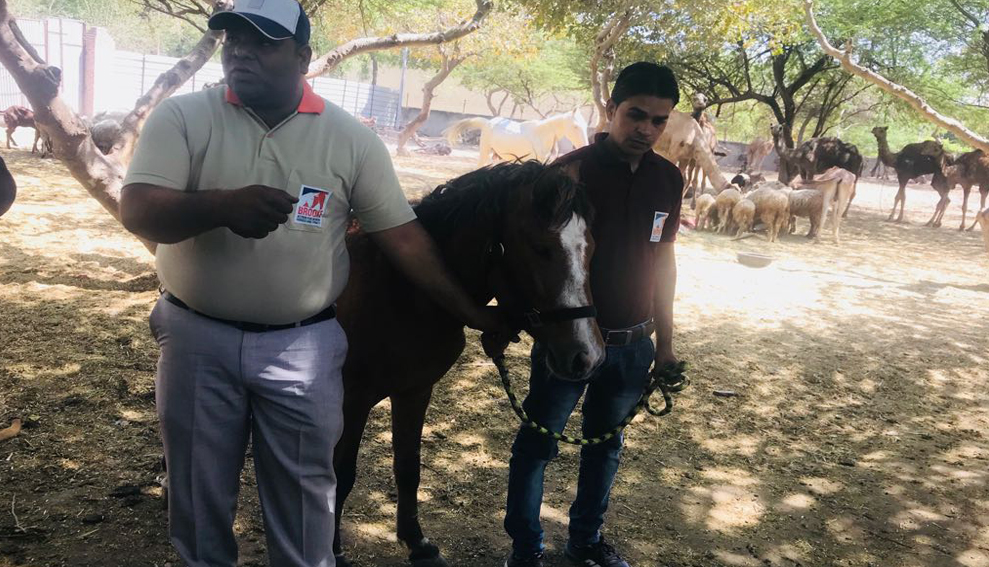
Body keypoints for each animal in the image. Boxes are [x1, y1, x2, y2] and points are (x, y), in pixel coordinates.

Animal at [336, 160, 604, 567]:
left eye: (591, 249)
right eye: (540, 249)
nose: (587, 355)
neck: (405, 290)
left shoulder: (415, 391)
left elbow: (408, 467)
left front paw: (416, 542)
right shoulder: (352, 400)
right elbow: (341, 475)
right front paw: (332, 551)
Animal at [446, 109, 588, 166]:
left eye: (585, 125)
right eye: (575, 126)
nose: (585, 146)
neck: (541, 134)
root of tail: (488, 122)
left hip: (499, 156)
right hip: (485, 152)